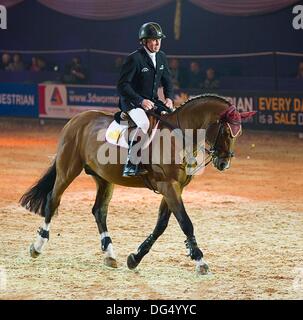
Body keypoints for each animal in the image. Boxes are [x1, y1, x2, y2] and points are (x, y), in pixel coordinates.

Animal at [19, 93, 256, 276]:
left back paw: (110, 254)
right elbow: (185, 223)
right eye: (226, 131)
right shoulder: (169, 186)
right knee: (53, 201)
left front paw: (135, 257)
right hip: (68, 169)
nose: (224, 163)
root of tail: (77, 119)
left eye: (239, 133)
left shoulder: (174, 188)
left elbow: (161, 225)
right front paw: (200, 261)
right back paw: (37, 246)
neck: (178, 136)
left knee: (99, 211)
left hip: (104, 178)